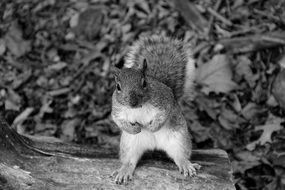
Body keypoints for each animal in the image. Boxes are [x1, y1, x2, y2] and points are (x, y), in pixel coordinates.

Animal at [110, 34, 199, 184]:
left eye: (144, 83)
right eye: (118, 87)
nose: (133, 102)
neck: (138, 108)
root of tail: (153, 145)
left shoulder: (165, 100)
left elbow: (163, 115)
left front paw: (152, 128)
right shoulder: (117, 109)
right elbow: (118, 120)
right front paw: (134, 129)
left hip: (179, 138)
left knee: (180, 155)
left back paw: (186, 165)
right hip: (129, 144)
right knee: (130, 160)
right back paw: (125, 170)